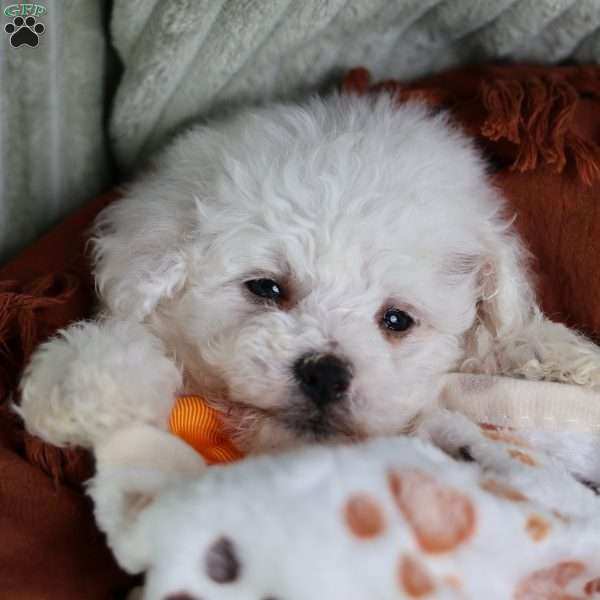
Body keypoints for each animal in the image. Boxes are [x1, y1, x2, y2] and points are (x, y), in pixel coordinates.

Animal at [16, 95, 600, 454]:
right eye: (266, 288)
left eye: (397, 320)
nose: (325, 373)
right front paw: (83, 391)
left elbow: (499, 340)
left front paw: (560, 359)